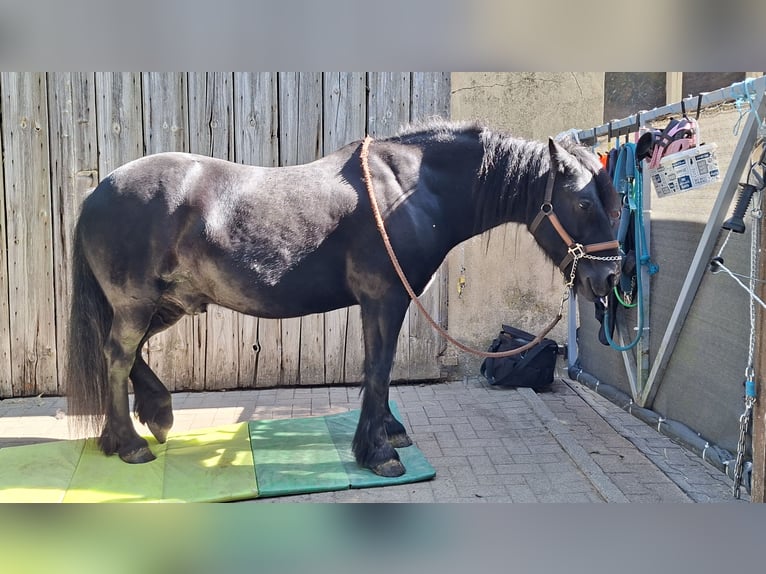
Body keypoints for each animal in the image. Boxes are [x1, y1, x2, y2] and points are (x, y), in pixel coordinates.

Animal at [66, 120, 621, 477]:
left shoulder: (380, 304)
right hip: (138, 303)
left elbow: (381, 370)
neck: (409, 190)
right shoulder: (385, 300)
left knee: (128, 354)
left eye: (613, 203)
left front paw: (389, 432)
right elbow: (378, 368)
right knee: (117, 356)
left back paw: (149, 420)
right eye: (581, 202)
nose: (610, 277)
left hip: (168, 304)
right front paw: (378, 453)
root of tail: (98, 192)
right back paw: (131, 445)